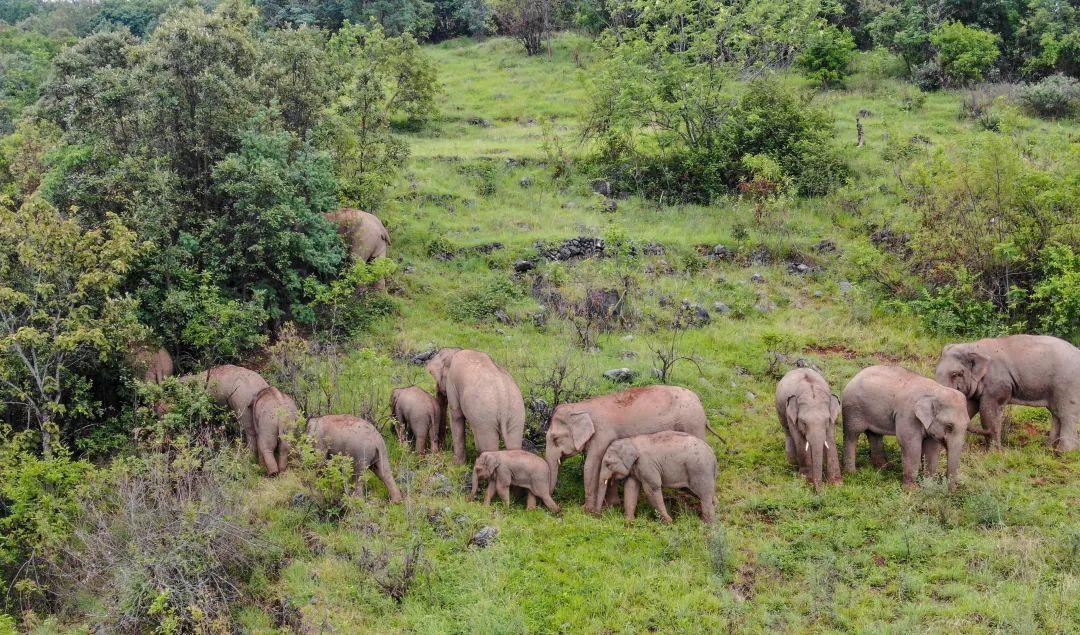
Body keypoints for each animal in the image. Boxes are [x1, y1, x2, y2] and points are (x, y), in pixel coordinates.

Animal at [544, 384, 712, 514]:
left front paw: (586, 509)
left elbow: (591, 466)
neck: (581, 407)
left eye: (555, 438)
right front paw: (612, 505)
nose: (559, 508)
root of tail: (699, 401)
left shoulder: (602, 433)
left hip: (692, 423)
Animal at [842, 365, 972, 494]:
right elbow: (911, 445)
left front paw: (928, 485)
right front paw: (911, 490)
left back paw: (883, 468)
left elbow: (932, 448)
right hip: (853, 408)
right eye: (949, 426)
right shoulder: (908, 414)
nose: (952, 491)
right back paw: (851, 473)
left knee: (874, 435)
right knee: (852, 434)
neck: (935, 390)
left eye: (967, 426)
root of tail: (856, 375)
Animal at [933, 334, 1075, 453]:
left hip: (1066, 385)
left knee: (1066, 414)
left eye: (955, 374)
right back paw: (1049, 448)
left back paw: (1064, 452)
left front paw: (995, 453)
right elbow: (970, 407)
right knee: (1056, 413)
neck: (973, 346)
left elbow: (988, 410)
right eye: (935, 371)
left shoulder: (997, 384)